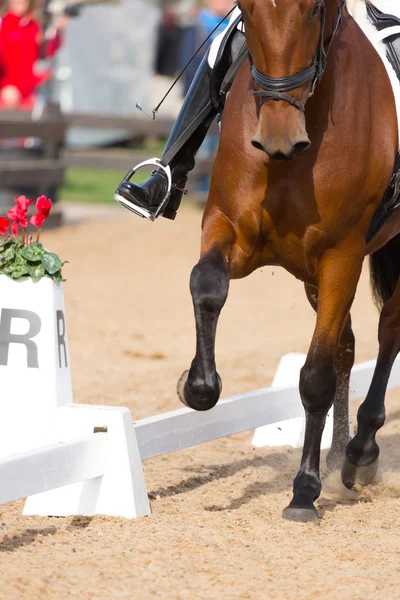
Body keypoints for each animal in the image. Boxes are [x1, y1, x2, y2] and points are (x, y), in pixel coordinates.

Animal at [177, 0, 400, 524]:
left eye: (316, 8)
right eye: (248, 9)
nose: (278, 138)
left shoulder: (342, 255)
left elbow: (315, 375)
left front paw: (304, 491)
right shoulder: (229, 228)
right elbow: (207, 284)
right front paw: (199, 386)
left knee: (388, 332)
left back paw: (360, 452)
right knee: (347, 346)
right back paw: (339, 452)